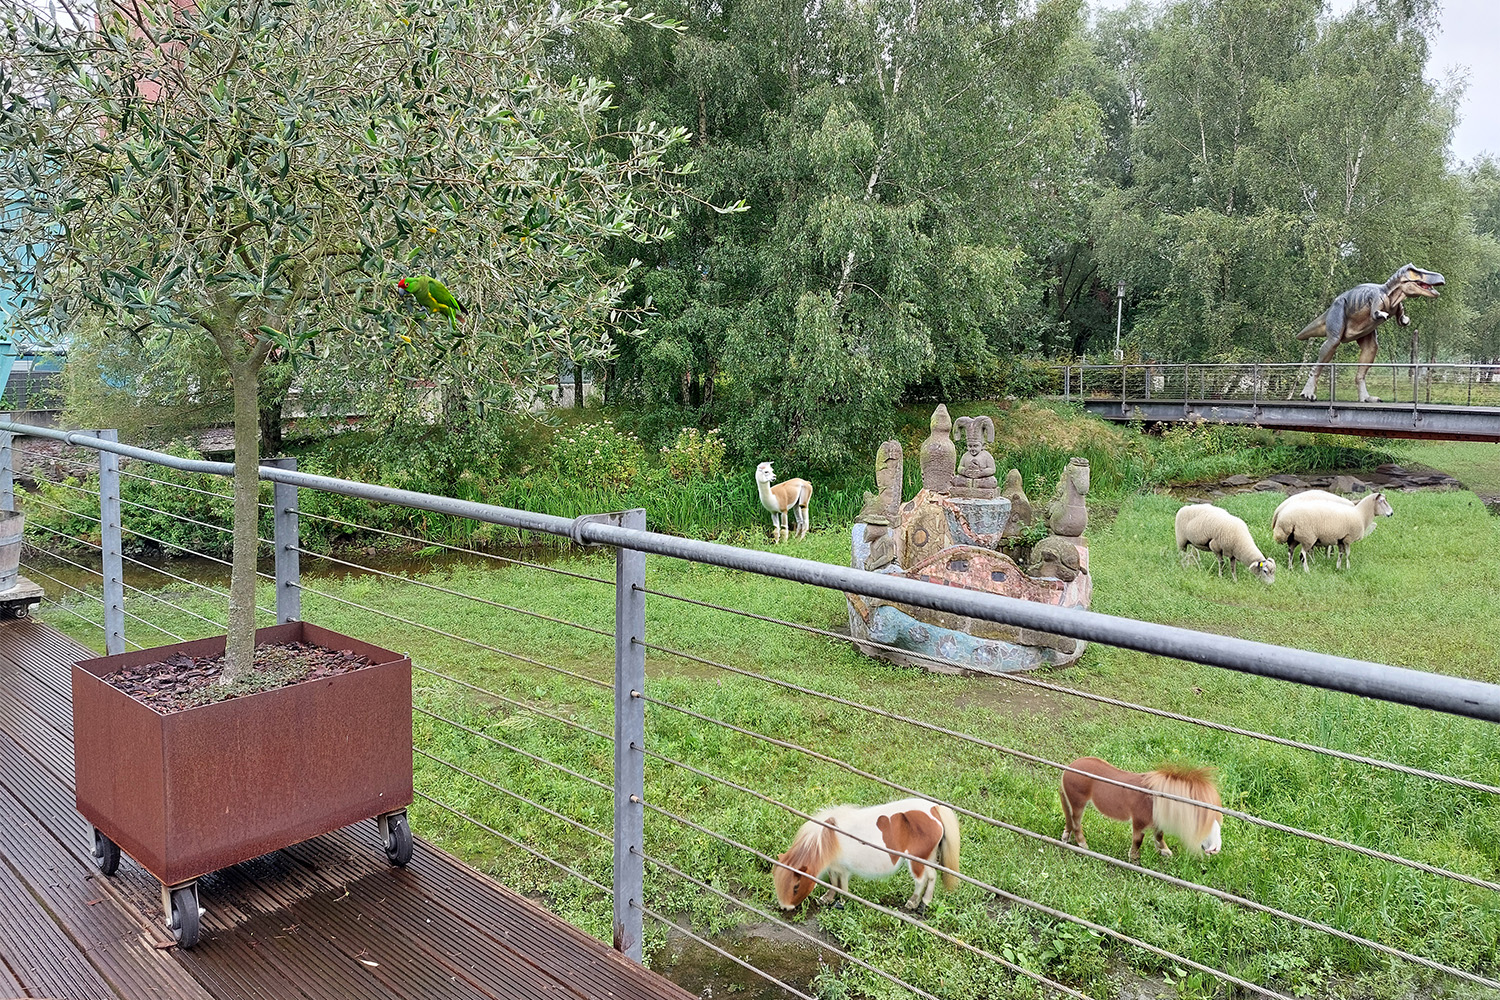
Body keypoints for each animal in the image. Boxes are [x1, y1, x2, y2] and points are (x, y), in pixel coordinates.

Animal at [774, 797, 960, 917]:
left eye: (796, 887)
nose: (785, 907)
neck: (827, 837)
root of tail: (934, 809)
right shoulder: (834, 866)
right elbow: (833, 883)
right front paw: (826, 899)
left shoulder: (843, 869)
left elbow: (842, 886)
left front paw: (840, 903)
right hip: (929, 857)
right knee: (932, 876)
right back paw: (924, 904)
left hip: (917, 860)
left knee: (921, 880)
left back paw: (913, 903)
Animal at [1062, 758, 1224, 863]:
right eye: (1205, 823)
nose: (1215, 849)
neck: (1155, 799)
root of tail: (1068, 769)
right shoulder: (1139, 823)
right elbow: (1138, 840)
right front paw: (1134, 858)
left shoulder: (1157, 821)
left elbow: (1159, 835)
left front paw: (1165, 852)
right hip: (1078, 804)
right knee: (1076, 822)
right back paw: (1083, 844)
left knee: (1069, 818)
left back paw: (1066, 837)